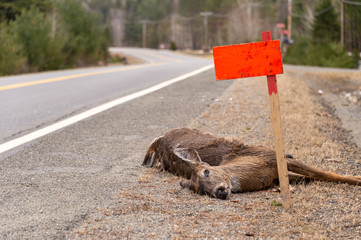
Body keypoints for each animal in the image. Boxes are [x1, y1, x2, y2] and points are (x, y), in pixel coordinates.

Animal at [143, 128, 360, 200]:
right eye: (201, 191)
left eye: (206, 172)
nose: (219, 191)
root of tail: (159, 141)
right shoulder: (275, 172)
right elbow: (311, 176)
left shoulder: (271, 156)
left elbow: (324, 174)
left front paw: (357, 178)